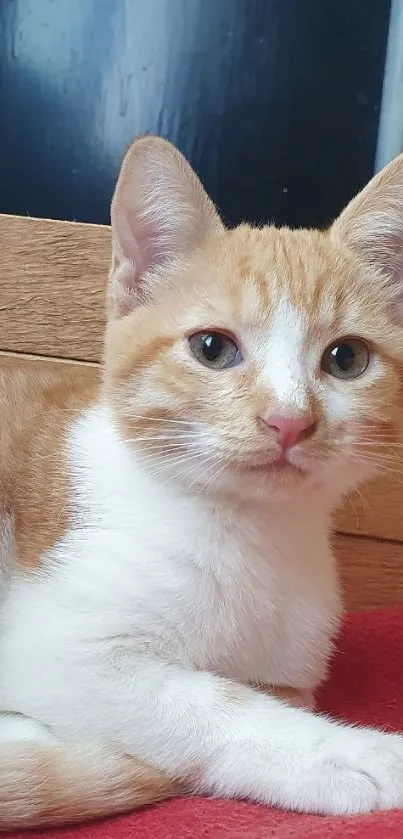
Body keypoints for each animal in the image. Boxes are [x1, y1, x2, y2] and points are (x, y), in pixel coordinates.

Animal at [0, 135, 403, 832]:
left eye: (346, 358)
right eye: (212, 348)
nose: (289, 419)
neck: (247, 537)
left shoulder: (294, 672)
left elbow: (265, 691)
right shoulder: (50, 643)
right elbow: (206, 699)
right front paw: (349, 753)